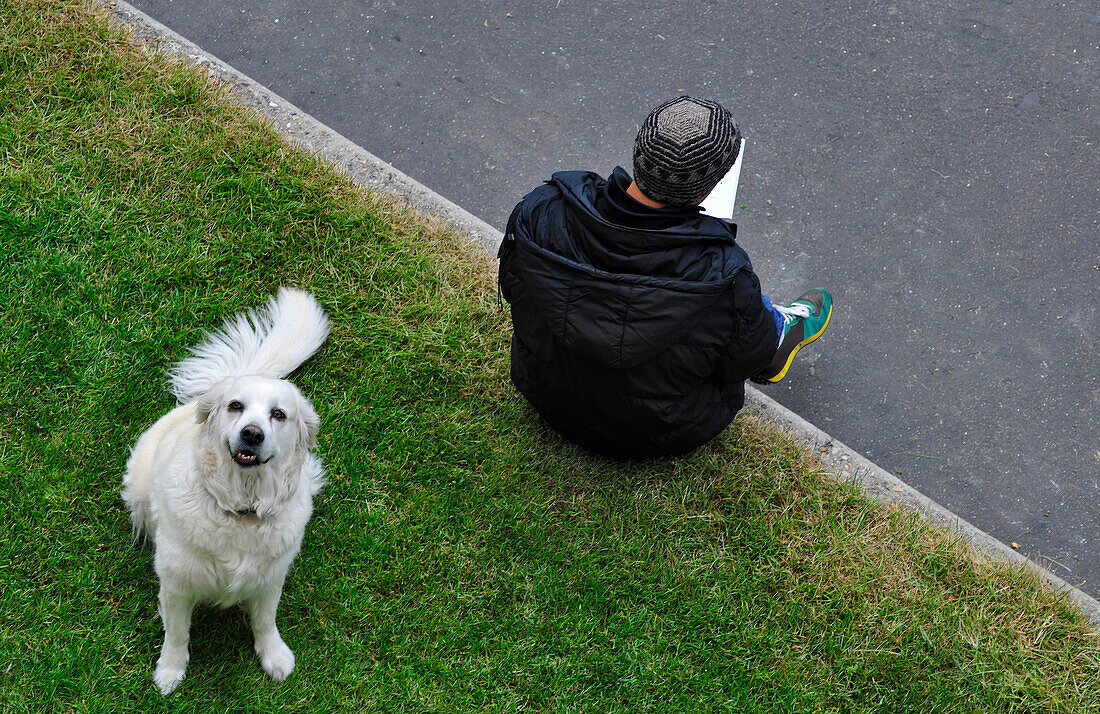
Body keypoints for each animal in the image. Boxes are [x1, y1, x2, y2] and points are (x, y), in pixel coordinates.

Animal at [123, 286, 330, 695]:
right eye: (236, 406)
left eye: (278, 414)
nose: (252, 433)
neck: (242, 510)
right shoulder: (177, 584)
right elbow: (177, 633)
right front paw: (170, 672)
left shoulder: (270, 579)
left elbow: (265, 620)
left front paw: (274, 656)